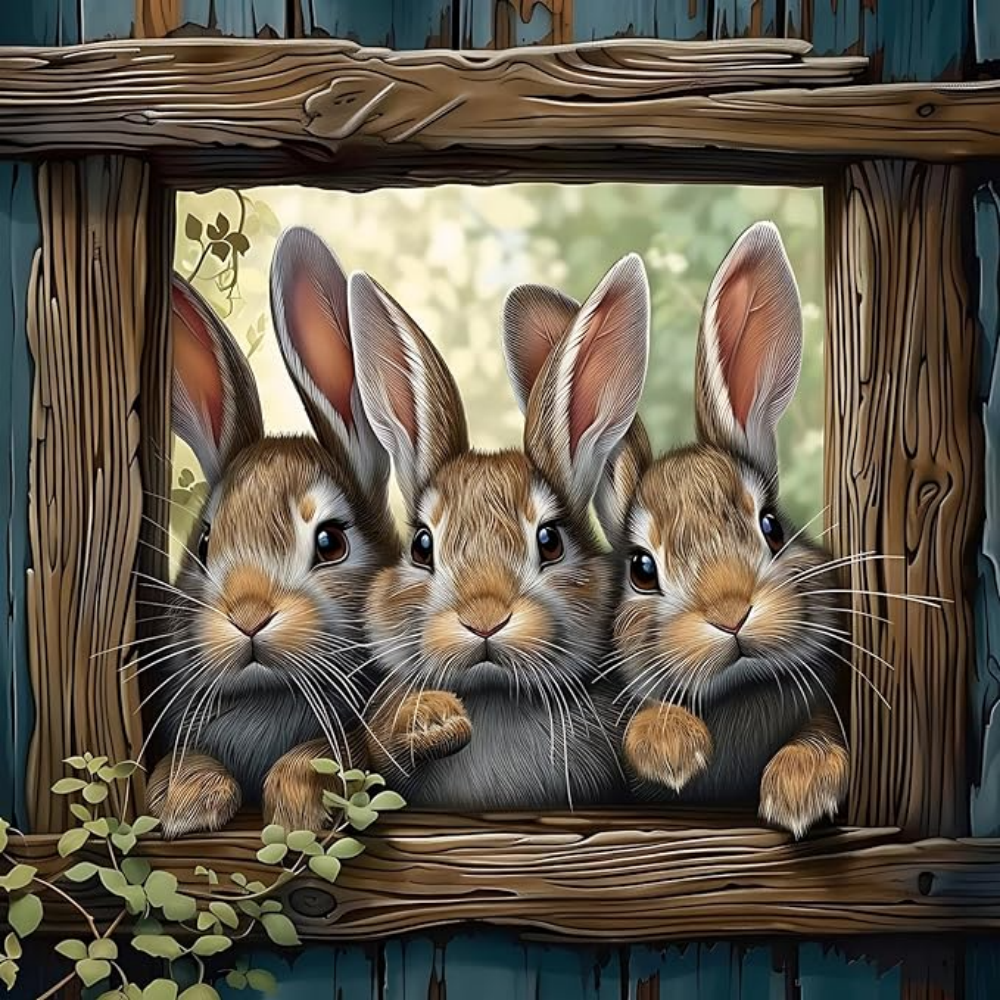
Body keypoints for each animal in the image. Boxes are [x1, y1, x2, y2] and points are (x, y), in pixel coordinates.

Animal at [145, 227, 465, 838]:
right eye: (203, 544)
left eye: (330, 542)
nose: (248, 616)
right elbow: (186, 757)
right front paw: (186, 801)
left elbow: (328, 753)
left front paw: (299, 809)